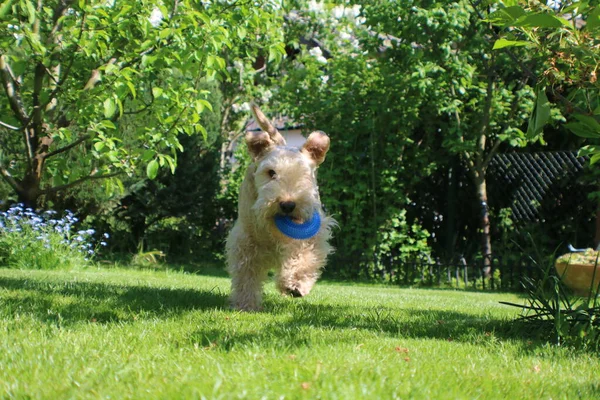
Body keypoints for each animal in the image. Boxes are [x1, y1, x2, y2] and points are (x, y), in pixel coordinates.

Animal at [226, 104, 336, 310]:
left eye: (305, 173)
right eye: (271, 172)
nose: (288, 204)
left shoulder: (314, 237)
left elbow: (305, 258)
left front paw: (296, 284)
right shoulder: (245, 242)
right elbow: (246, 275)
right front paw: (246, 304)